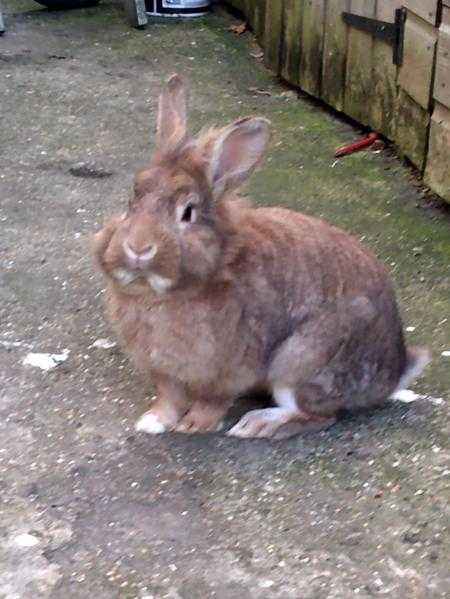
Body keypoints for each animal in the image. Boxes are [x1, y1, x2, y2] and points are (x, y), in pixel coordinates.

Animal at [93, 74, 430, 440]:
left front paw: (195, 425)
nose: (138, 248)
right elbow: (169, 398)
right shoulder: (165, 371)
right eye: (133, 199)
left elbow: (211, 401)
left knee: (319, 415)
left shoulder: (228, 368)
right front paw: (153, 422)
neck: (159, 294)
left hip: (301, 361)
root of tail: (391, 373)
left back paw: (257, 425)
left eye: (188, 212)